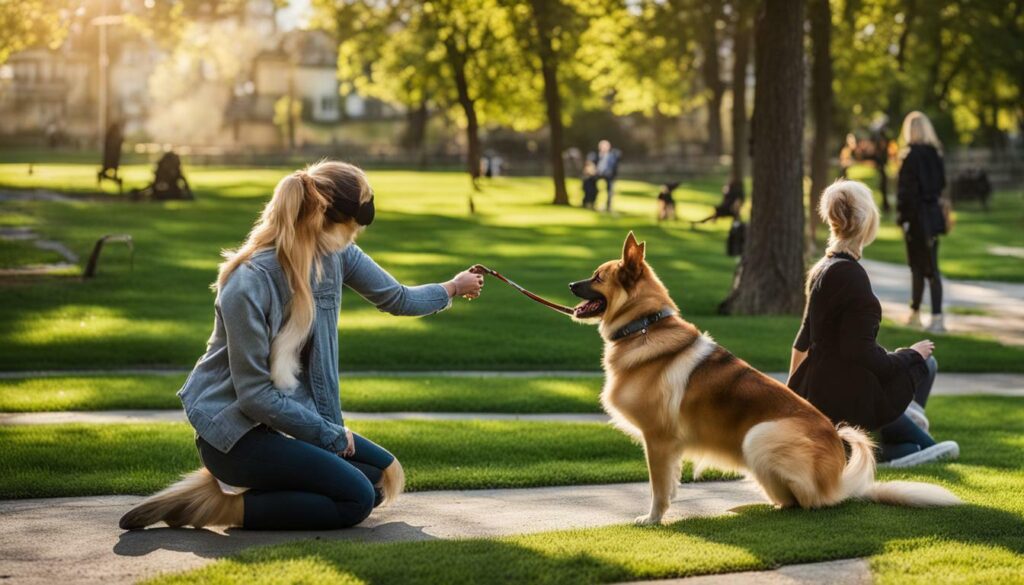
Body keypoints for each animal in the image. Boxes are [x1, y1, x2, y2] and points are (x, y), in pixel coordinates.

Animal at [573, 231, 954, 524]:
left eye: (597, 277)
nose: (570, 284)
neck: (645, 326)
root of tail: (838, 482)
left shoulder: (658, 440)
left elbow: (658, 488)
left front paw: (652, 519)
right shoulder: (667, 446)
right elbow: (669, 485)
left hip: (758, 436)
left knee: (808, 503)